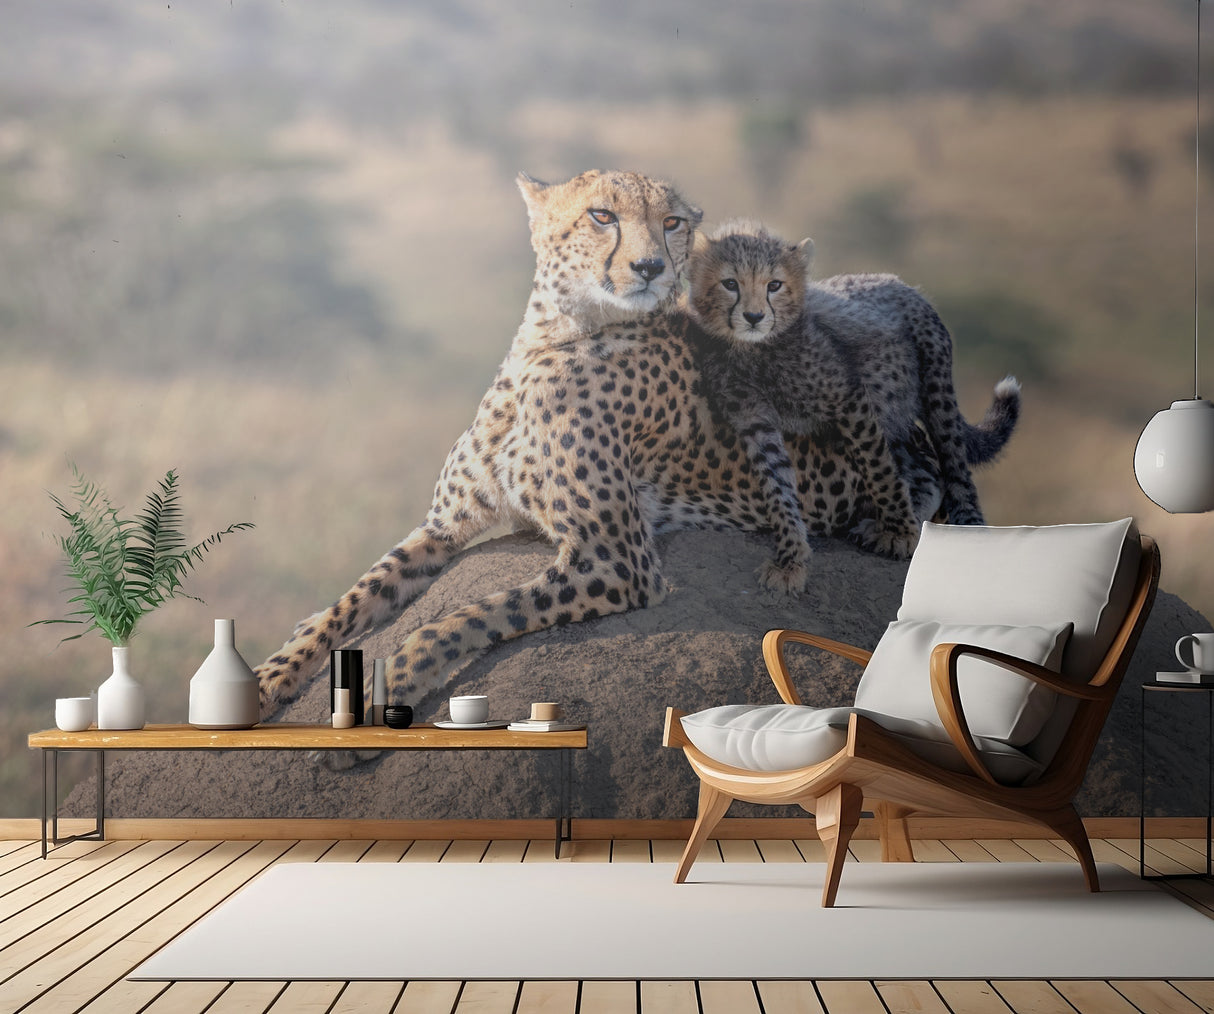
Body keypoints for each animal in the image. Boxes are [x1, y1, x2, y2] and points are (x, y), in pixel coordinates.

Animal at [254, 171, 945, 716]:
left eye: (671, 223)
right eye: (601, 215)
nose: (650, 267)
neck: (552, 338)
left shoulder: (616, 559)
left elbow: (471, 614)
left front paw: (394, 683)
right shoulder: (444, 528)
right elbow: (354, 597)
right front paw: (271, 676)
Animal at [686, 218, 1020, 593]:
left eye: (774, 285)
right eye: (730, 284)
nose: (754, 316)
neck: (753, 351)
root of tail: (897, 280)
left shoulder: (848, 400)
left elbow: (880, 472)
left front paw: (900, 533)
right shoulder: (754, 421)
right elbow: (777, 488)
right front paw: (790, 560)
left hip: (936, 390)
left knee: (956, 468)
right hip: (892, 412)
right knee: (920, 467)